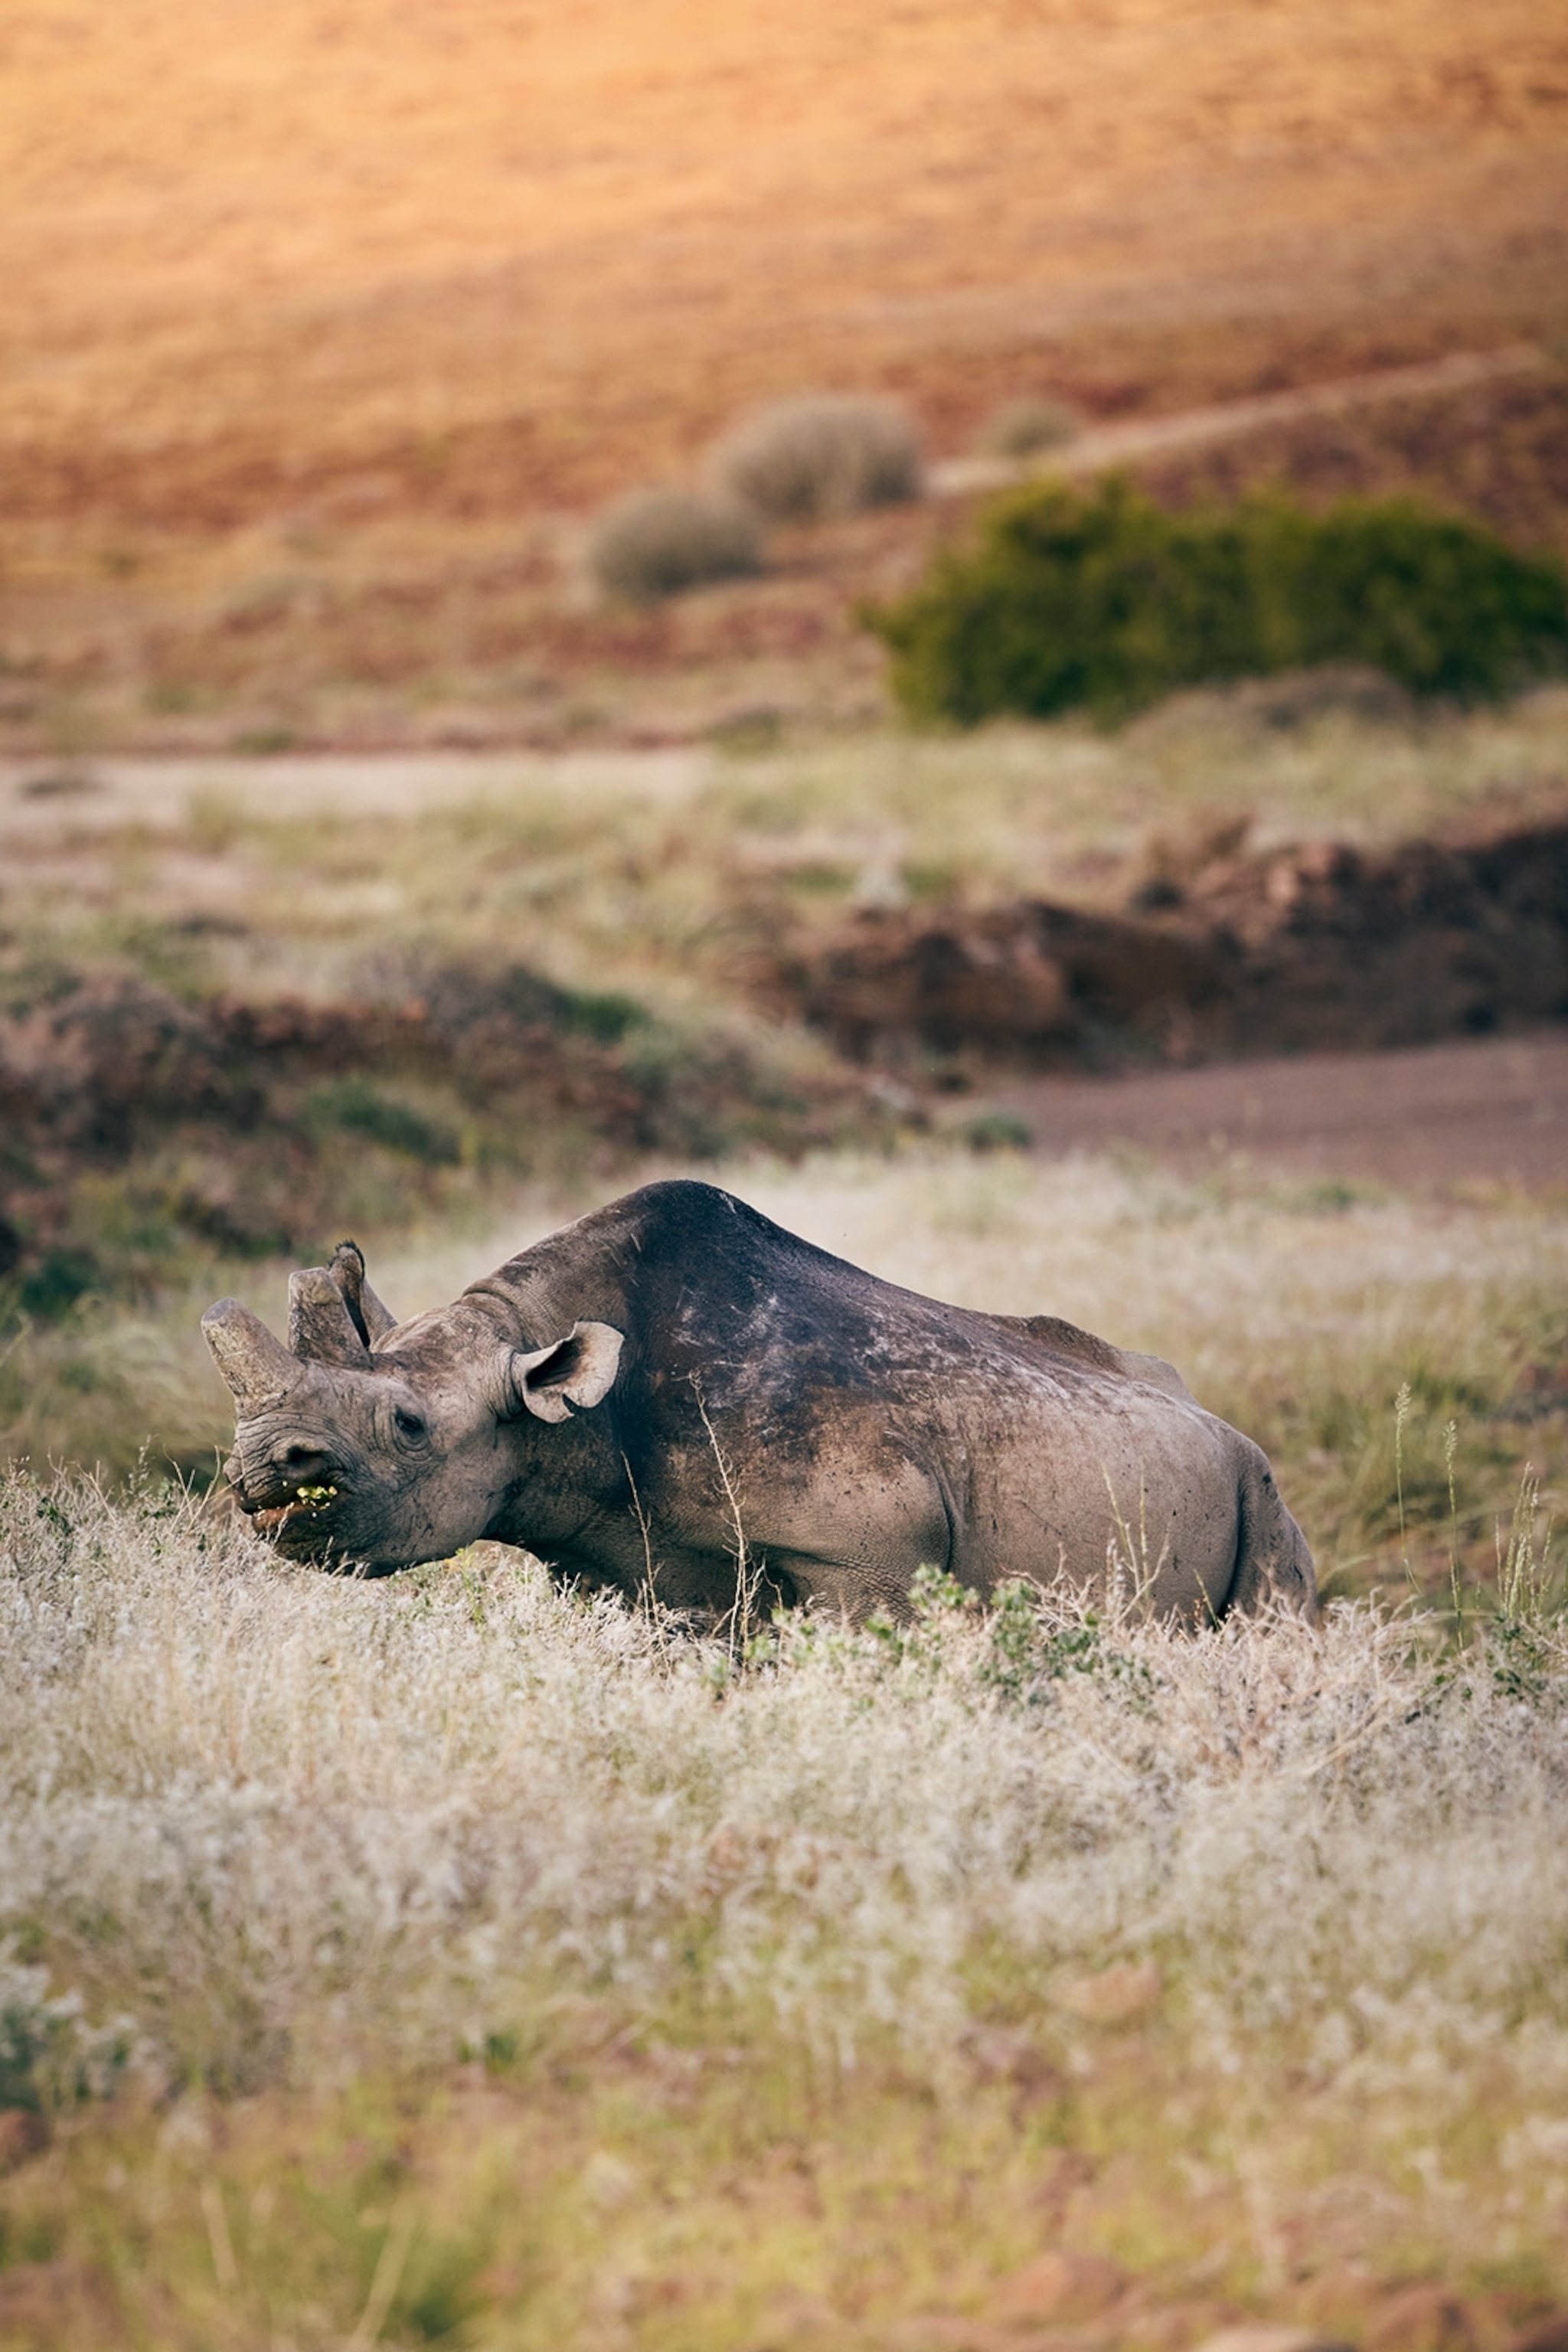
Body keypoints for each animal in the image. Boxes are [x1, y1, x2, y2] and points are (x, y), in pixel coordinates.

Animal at [203, 1177, 1313, 1623]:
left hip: (1260, 1489)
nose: (262, 1469)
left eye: (408, 1426)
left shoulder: (865, 1551)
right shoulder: (619, 1555)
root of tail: (1226, 1423)